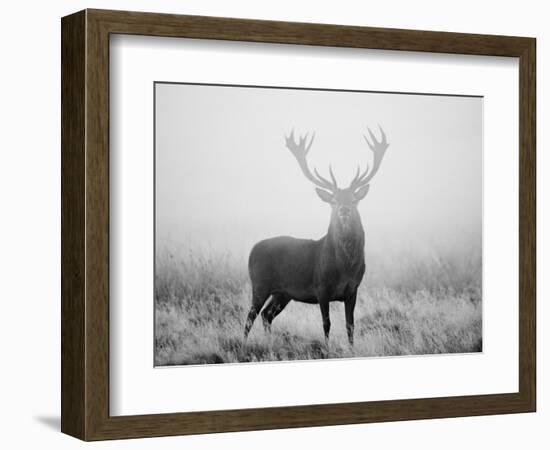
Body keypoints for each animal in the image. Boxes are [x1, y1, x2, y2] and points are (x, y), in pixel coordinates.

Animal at [244, 126, 390, 344]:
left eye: (354, 199)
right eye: (334, 200)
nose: (344, 210)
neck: (345, 268)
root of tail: (252, 250)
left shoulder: (353, 289)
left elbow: (350, 326)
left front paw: (352, 347)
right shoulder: (321, 287)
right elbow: (326, 324)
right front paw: (328, 347)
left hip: (283, 293)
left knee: (266, 314)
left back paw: (269, 341)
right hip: (260, 283)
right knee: (250, 317)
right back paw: (243, 343)